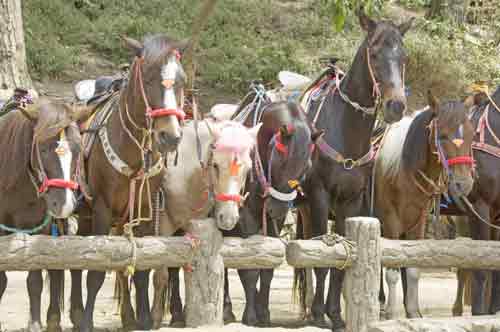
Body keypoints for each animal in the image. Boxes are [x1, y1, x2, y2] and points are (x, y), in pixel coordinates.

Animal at [0, 98, 84, 332]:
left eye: (78, 148)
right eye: (44, 149)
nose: (63, 204)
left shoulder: (38, 231)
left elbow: (35, 281)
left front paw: (36, 323)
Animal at [69, 34, 188, 332]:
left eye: (181, 80)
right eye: (148, 78)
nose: (170, 136)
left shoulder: (144, 211)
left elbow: (142, 269)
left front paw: (144, 320)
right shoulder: (102, 209)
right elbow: (96, 271)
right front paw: (86, 321)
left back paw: (128, 317)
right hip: (86, 214)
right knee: (75, 259)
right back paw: (75, 313)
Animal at [292, 9, 414, 330]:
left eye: (404, 56)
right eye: (374, 53)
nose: (396, 106)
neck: (345, 131)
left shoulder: (351, 202)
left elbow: (339, 262)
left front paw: (334, 314)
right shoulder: (320, 196)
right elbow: (323, 259)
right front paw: (320, 314)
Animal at [374, 91, 474, 320]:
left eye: (472, 135)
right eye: (443, 135)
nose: (463, 184)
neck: (401, 168)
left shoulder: (417, 221)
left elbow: (412, 268)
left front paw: (412, 312)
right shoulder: (391, 220)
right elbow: (392, 270)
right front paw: (391, 314)